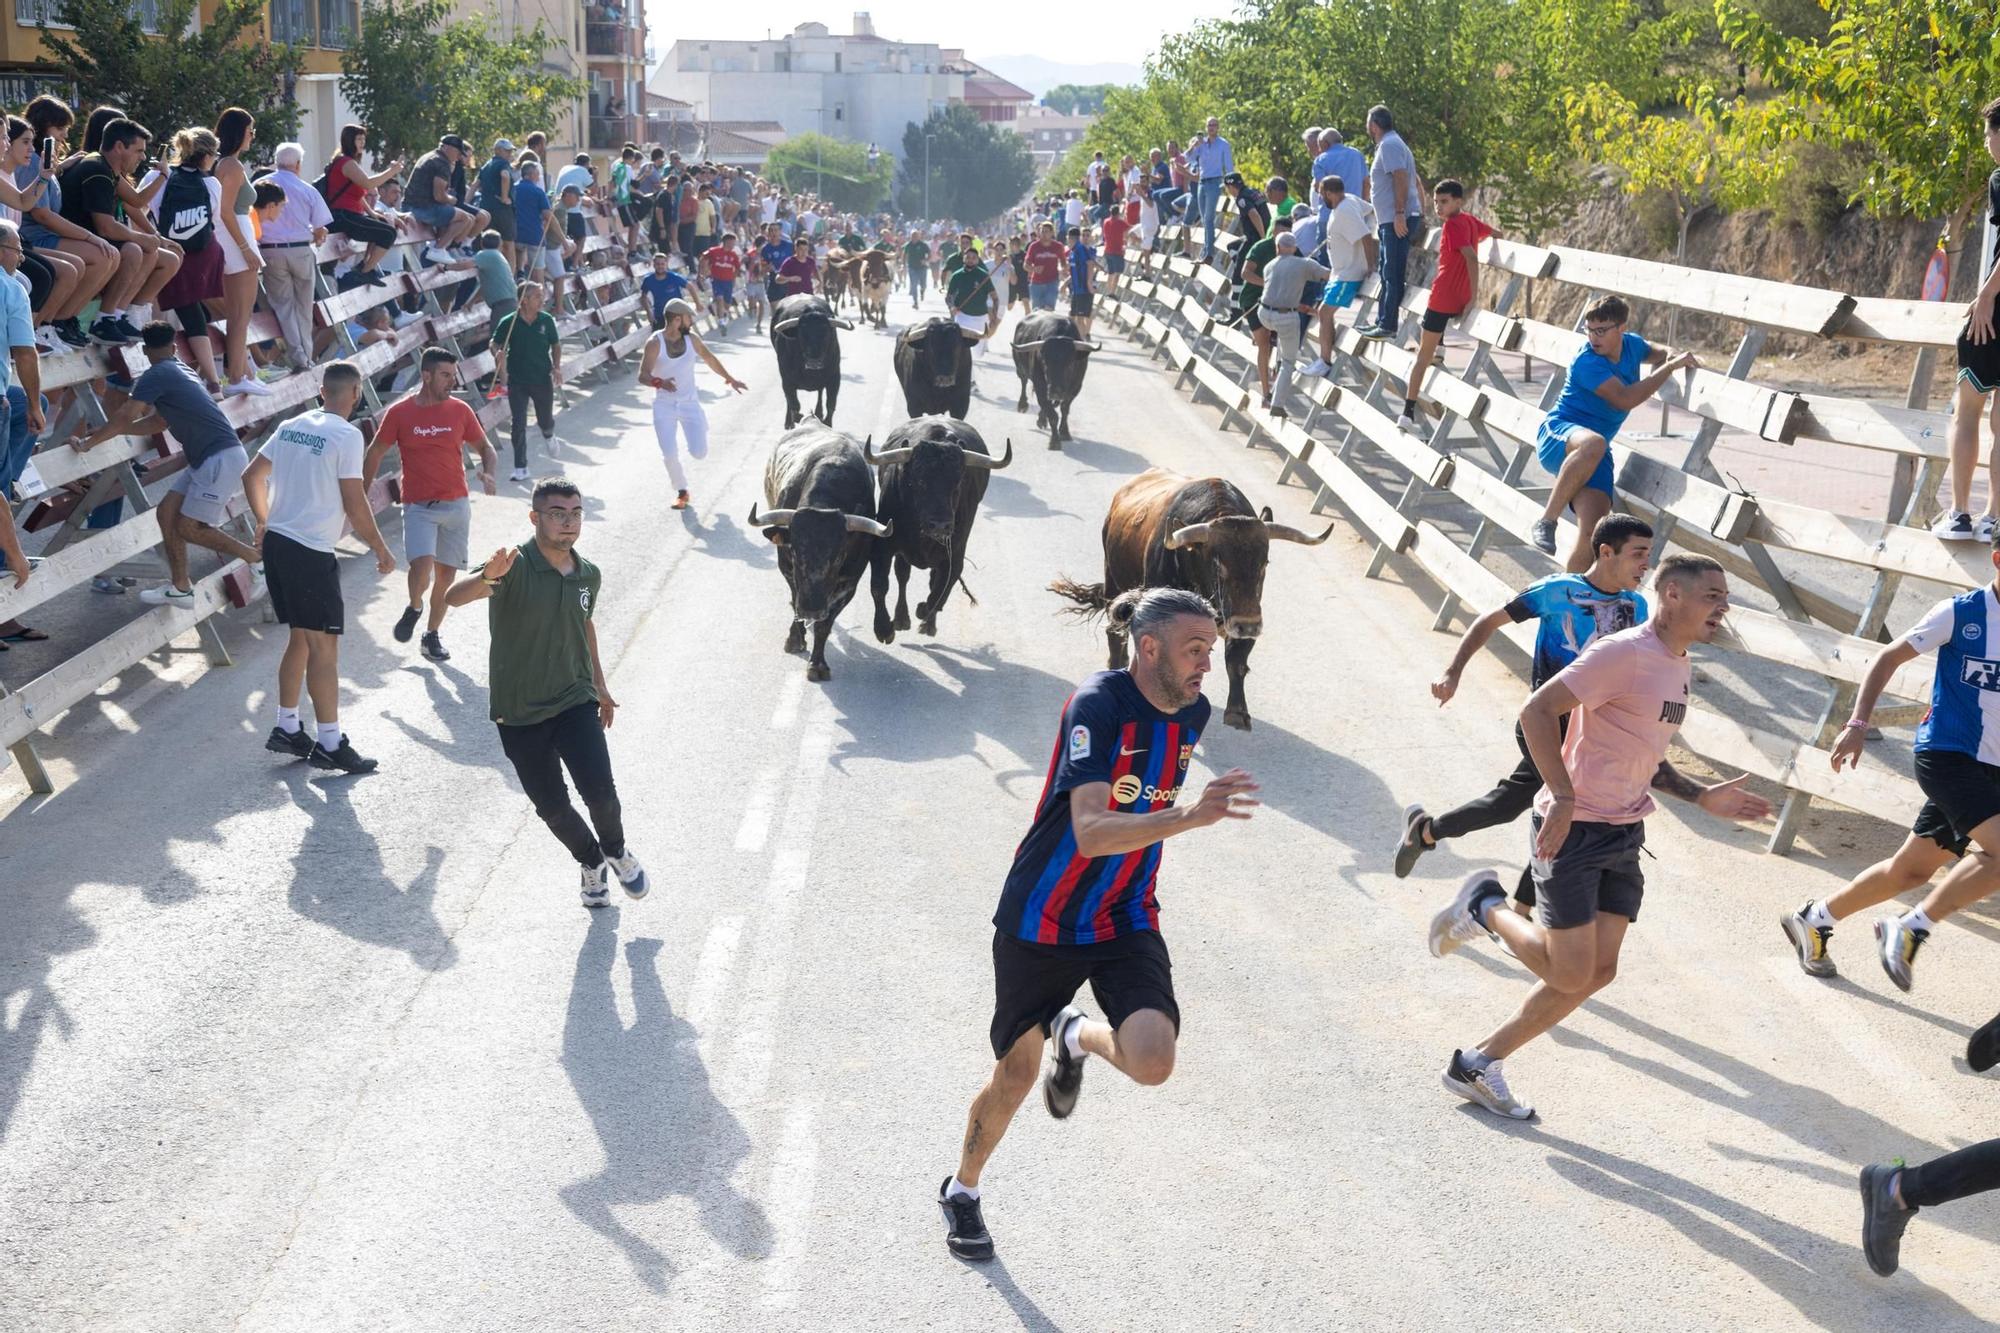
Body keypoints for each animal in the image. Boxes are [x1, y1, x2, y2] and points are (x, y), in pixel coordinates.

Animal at [752, 422, 892, 680]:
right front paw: (795, 639)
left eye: (839, 556)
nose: (812, 609)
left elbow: (824, 625)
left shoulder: (849, 584)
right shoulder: (788, 570)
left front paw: (817, 665)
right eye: (794, 551)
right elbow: (794, 600)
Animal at [764, 294, 852, 426]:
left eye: (825, 332)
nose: (814, 361)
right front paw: (796, 419)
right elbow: (795, 407)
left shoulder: (835, 377)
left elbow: (830, 405)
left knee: (820, 392)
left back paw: (819, 412)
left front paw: (825, 422)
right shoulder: (787, 381)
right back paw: (789, 422)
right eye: (802, 333)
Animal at [864, 416, 1008, 644]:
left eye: (957, 483)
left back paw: (926, 623)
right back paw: (901, 618)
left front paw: (924, 612)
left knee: (933, 582)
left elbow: (940, 592)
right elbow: (879, 586)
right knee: (902, 575)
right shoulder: (883, 546)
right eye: (920, 481)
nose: (940, 525)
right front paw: (884, 629)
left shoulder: (954, 556)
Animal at [1008, 312, 1104, 452]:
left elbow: (1064, 409)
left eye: (1070, 363)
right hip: (1020, 369)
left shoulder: (1075, 388)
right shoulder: (1041, 386)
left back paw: (1042, 419)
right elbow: (1052, 414)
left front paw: (1064, 432)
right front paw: (1054, 441)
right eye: (1044, 362)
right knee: (1024, 382)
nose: (1055, 391)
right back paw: (1023, 405)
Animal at [1056, 466, 1336, 732]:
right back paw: (1117, 663)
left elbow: (1236, 661)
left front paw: (1237, 712)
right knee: (1115, 629)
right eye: (1218, 565)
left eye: (1264, 563)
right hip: (1113, 578)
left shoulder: (1247, 614)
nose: (1248, 626)